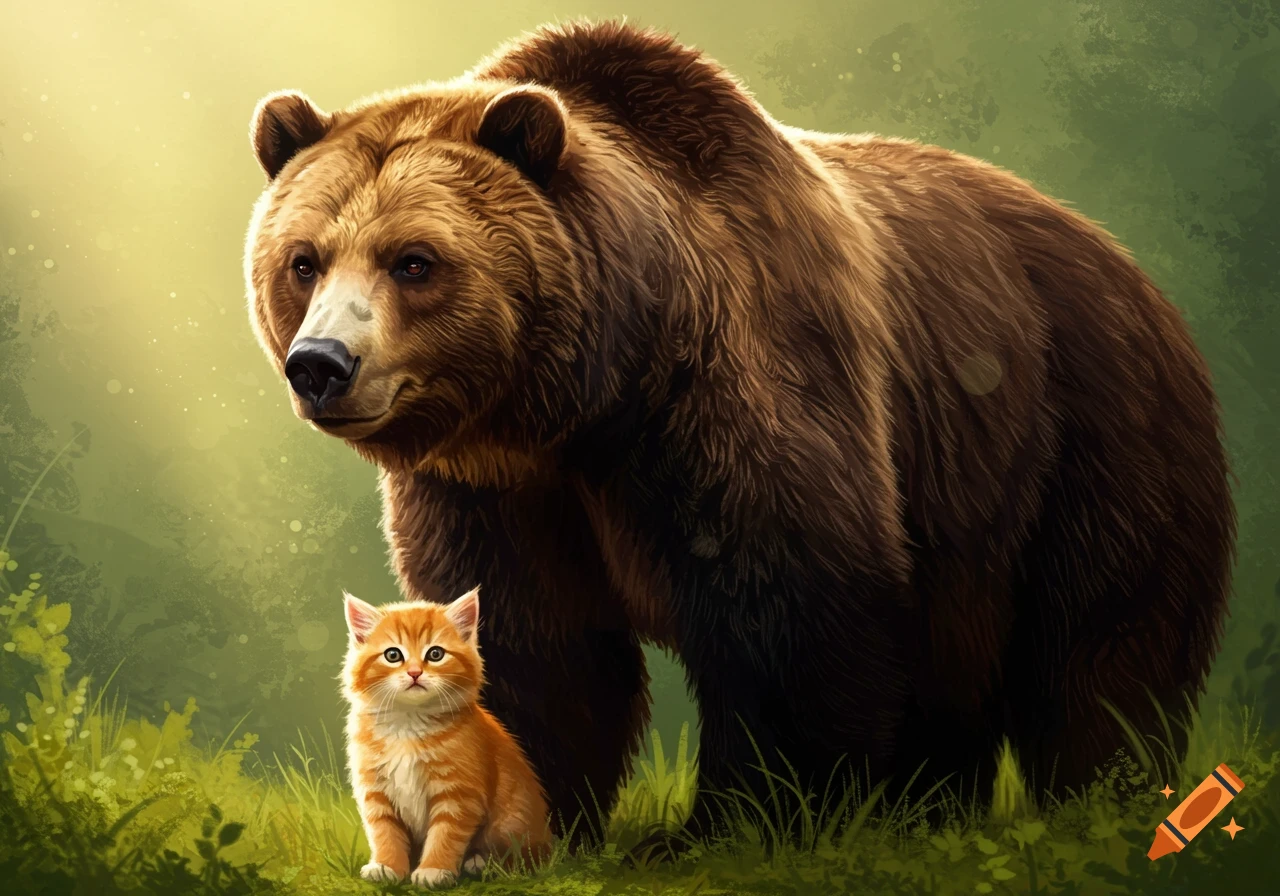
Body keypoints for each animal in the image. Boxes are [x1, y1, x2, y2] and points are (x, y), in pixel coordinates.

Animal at [243, 19, 1235, 846]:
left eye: (415, 261)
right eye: (304, 260)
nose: (321, 363)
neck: (585, 399)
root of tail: (1126, 261)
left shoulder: (738, 387)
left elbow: (791, 598)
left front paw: (740, 822)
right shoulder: (496, 487)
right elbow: (527, 636)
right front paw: (530, 811)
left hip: (1089, 432)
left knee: (1103, 643)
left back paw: (1096, 800)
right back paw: (929, 809)